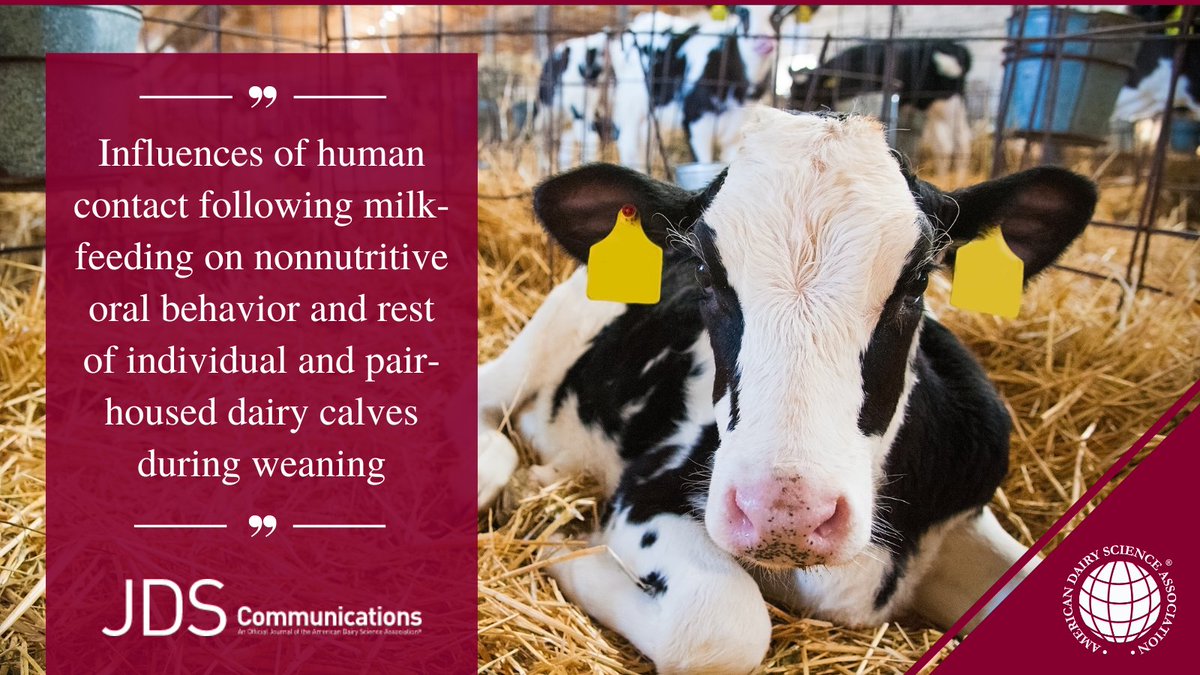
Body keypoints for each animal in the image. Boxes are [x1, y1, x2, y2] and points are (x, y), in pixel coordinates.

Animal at [478, 107, 1097, 673]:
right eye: (703, 272)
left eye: (919, 280)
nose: (786, 513)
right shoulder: (649, 491)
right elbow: (720, 626)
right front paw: (563, 546)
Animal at [790, 40, 974, 180]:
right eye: (791, 92)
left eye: (813, 95)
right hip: (955, 103)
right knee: (963, 138)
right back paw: (960, 178)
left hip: (942, 104)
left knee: (945, 144)